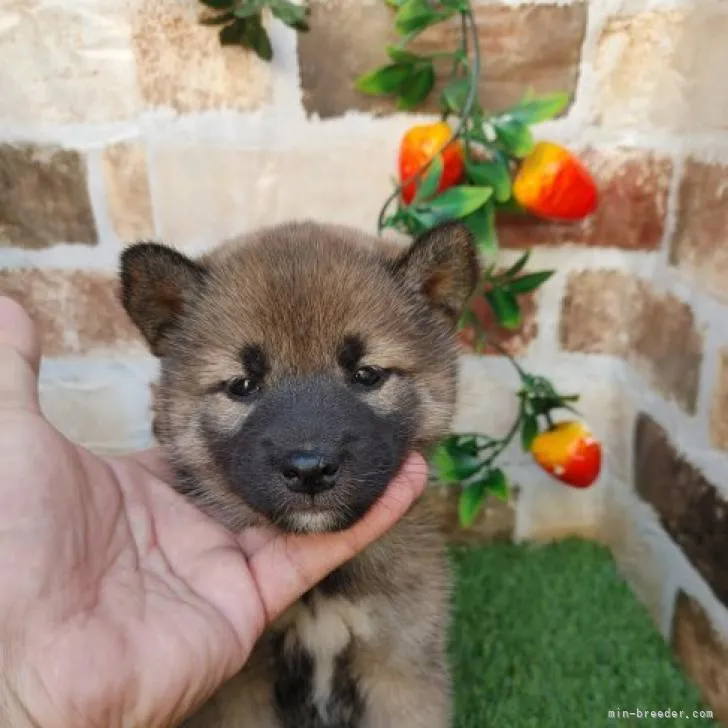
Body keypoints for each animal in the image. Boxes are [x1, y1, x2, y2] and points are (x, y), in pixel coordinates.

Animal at [119, 220, 480, 728]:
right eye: (242, 385)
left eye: (367, 374)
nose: (309, 470)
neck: (322, 590)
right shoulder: (239, 693)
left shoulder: (401, 670)